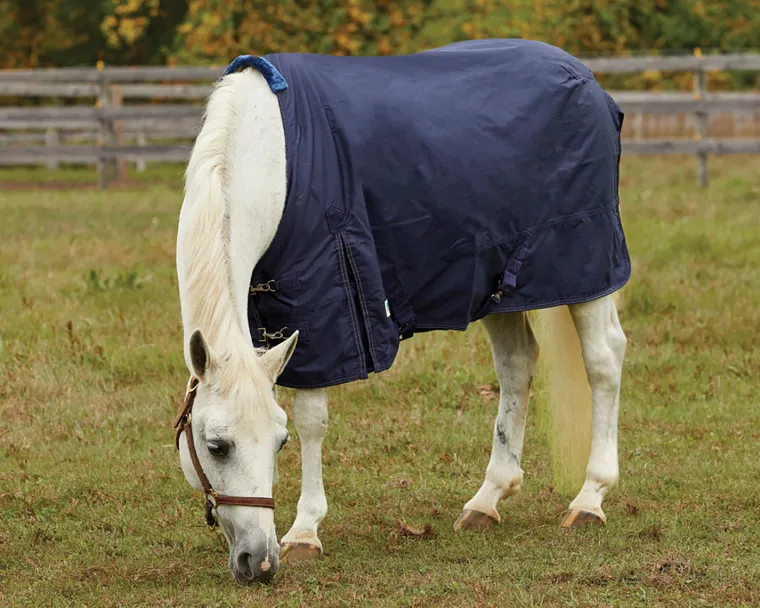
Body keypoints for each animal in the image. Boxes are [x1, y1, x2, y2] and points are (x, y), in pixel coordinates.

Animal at [175, 39, 628, 584]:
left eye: (280, 443)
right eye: (217, 446)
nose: (258, 562)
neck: (271, 158)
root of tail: (586, 78)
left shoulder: (325, 307)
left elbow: (312, 419)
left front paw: (305, 532)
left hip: (586, 266)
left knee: (603, 360)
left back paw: (590, 498)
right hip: (498, 279)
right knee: (518, 366)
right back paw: (487, 500)